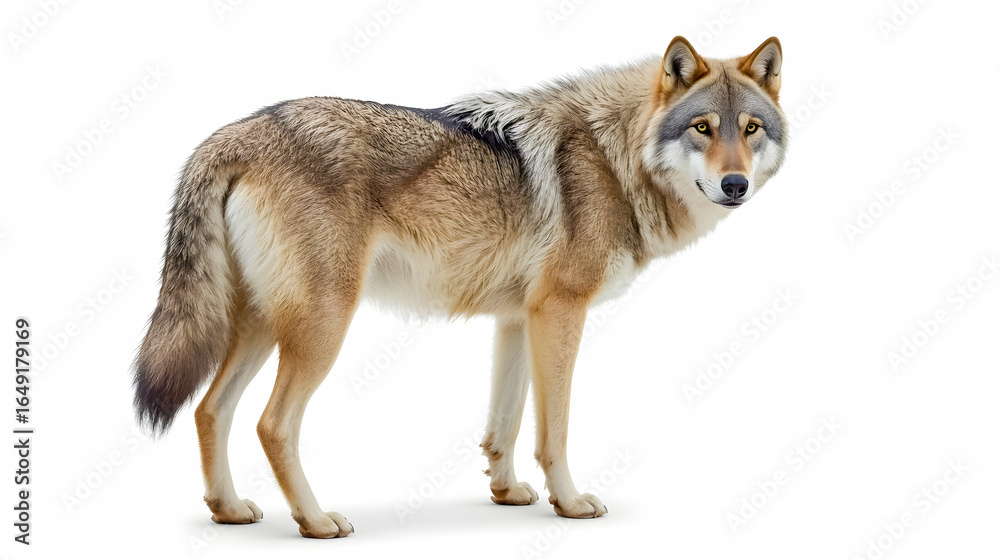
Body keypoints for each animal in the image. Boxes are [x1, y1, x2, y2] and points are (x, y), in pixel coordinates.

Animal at [132, 36, 787, 538]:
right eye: (703, 127)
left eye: (751, 129)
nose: (734, 185)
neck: (614, 157)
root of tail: (231, 134)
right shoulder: (561, 311)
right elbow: (555, 428)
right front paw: (570, 504)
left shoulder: (519, 318)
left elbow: (506, 422)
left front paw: (507, 492)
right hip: (320, 327)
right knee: (272, 423)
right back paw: (316, 522)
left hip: (264, 325)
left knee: (210, 409)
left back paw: (228, 511)